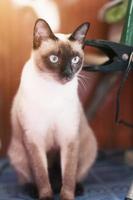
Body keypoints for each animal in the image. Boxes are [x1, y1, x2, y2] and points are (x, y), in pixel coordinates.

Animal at [8, 18, 97, 200]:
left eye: (75, 60)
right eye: (54, 59)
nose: (68, 74)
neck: (52, 91)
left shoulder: (69, 137)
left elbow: (68, 176)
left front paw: (67, 196)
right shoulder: (34, 138)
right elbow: (42, 175)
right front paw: (46, 196)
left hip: (89, 147)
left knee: (74, 176)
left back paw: (77, 189)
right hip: (17, 154)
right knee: (30, 178)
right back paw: (34, 191)